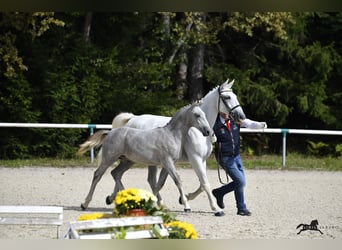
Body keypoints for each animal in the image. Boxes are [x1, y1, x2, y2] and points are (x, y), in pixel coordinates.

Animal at [80, 101, 212, 211]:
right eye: (197, 115)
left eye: (204, 114)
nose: (208, 131)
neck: (172, 135)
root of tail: (110, 133)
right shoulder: (167, 162)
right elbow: (177, 180)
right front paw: (186, 206)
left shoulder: (168, 164)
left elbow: (159, 184)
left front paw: (154, 203)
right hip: (109, 158)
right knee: (98, 175)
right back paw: (85, 204)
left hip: (128, 161)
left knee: (116, 173)